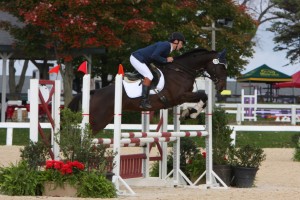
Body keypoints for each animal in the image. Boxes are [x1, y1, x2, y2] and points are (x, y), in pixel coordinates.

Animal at [68, 47, 227, 134]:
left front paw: (189, 113)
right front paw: (191, 113)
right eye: (221, 67)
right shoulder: (180, 96)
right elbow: (203, 95)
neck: (181, 70)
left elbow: (203, 97)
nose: (221, 87)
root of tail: (95, 92)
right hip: (97, 119)